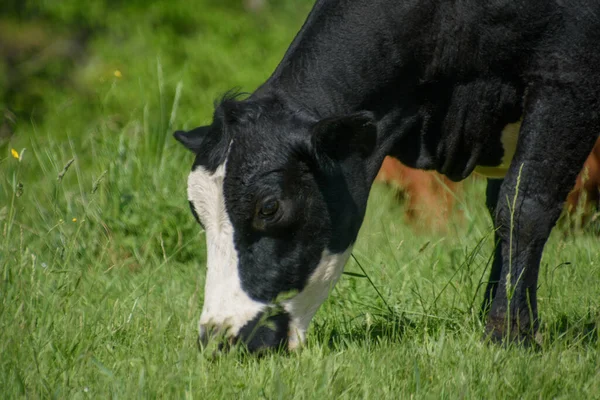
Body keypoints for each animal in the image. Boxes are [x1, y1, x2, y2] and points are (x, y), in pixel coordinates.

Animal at [173, 0, 600, 352]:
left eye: (269, 207)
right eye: (197, 212)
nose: (217, 338)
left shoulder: (569, 78)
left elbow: (522, 207)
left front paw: (508, 335)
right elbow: (501, 210)